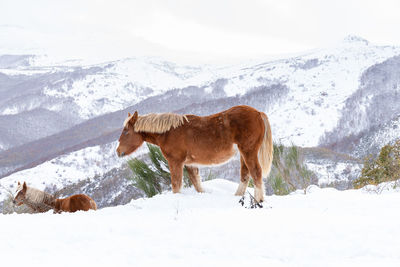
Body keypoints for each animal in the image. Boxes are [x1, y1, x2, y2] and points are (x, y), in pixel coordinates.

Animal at [115, 105, 272, 202]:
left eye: (126, 131)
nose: (118, 151)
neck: (168, 132)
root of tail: (258, 113)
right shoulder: (190, 164)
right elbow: (197, 184)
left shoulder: (175, 162)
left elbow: (176, 185)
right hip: (243, 154)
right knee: (245, 174)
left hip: (248, 151)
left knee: (256, 172)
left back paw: (258, 200)